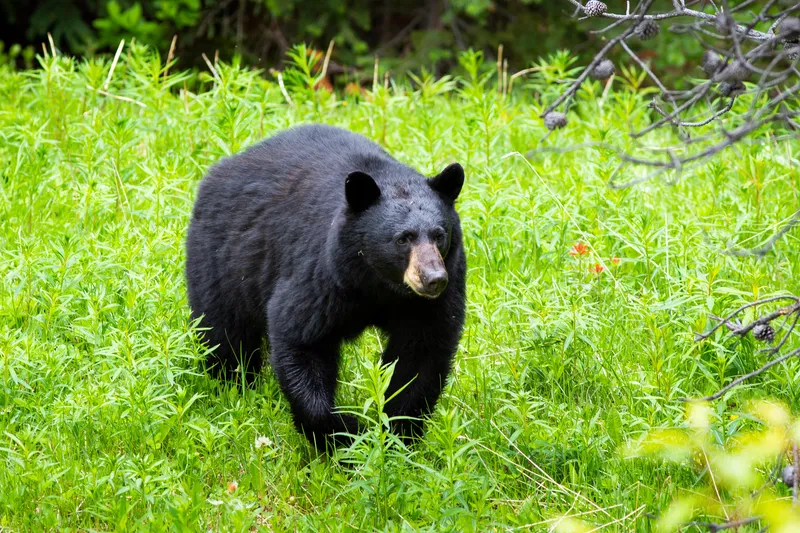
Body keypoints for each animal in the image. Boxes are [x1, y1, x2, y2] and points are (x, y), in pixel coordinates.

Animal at [185, 124, 467, 448]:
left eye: (439, 235)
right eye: (402, 238)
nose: (433, 278)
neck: (378, 284)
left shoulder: (432, 297)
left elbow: (421, 354)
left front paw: (397, 435)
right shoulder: (322, 275)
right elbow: (301, 336)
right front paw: (345, 432)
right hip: (223, 262)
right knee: (224, 334)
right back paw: (232, 389)